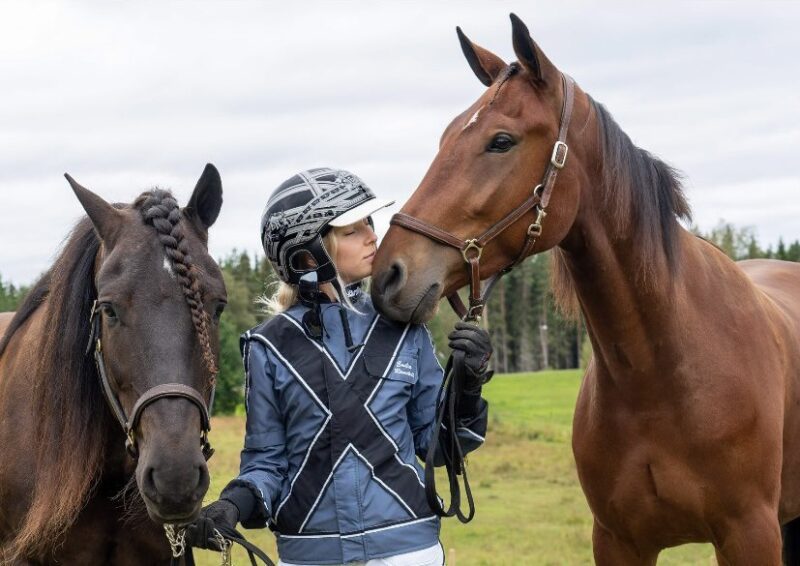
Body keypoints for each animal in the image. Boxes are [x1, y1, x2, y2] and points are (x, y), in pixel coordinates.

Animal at [372, 13, 800, 566]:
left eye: (501, 141)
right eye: (445, 135)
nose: (388, 274)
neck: (662, 373)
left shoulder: (750, 534)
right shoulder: (617, 540)